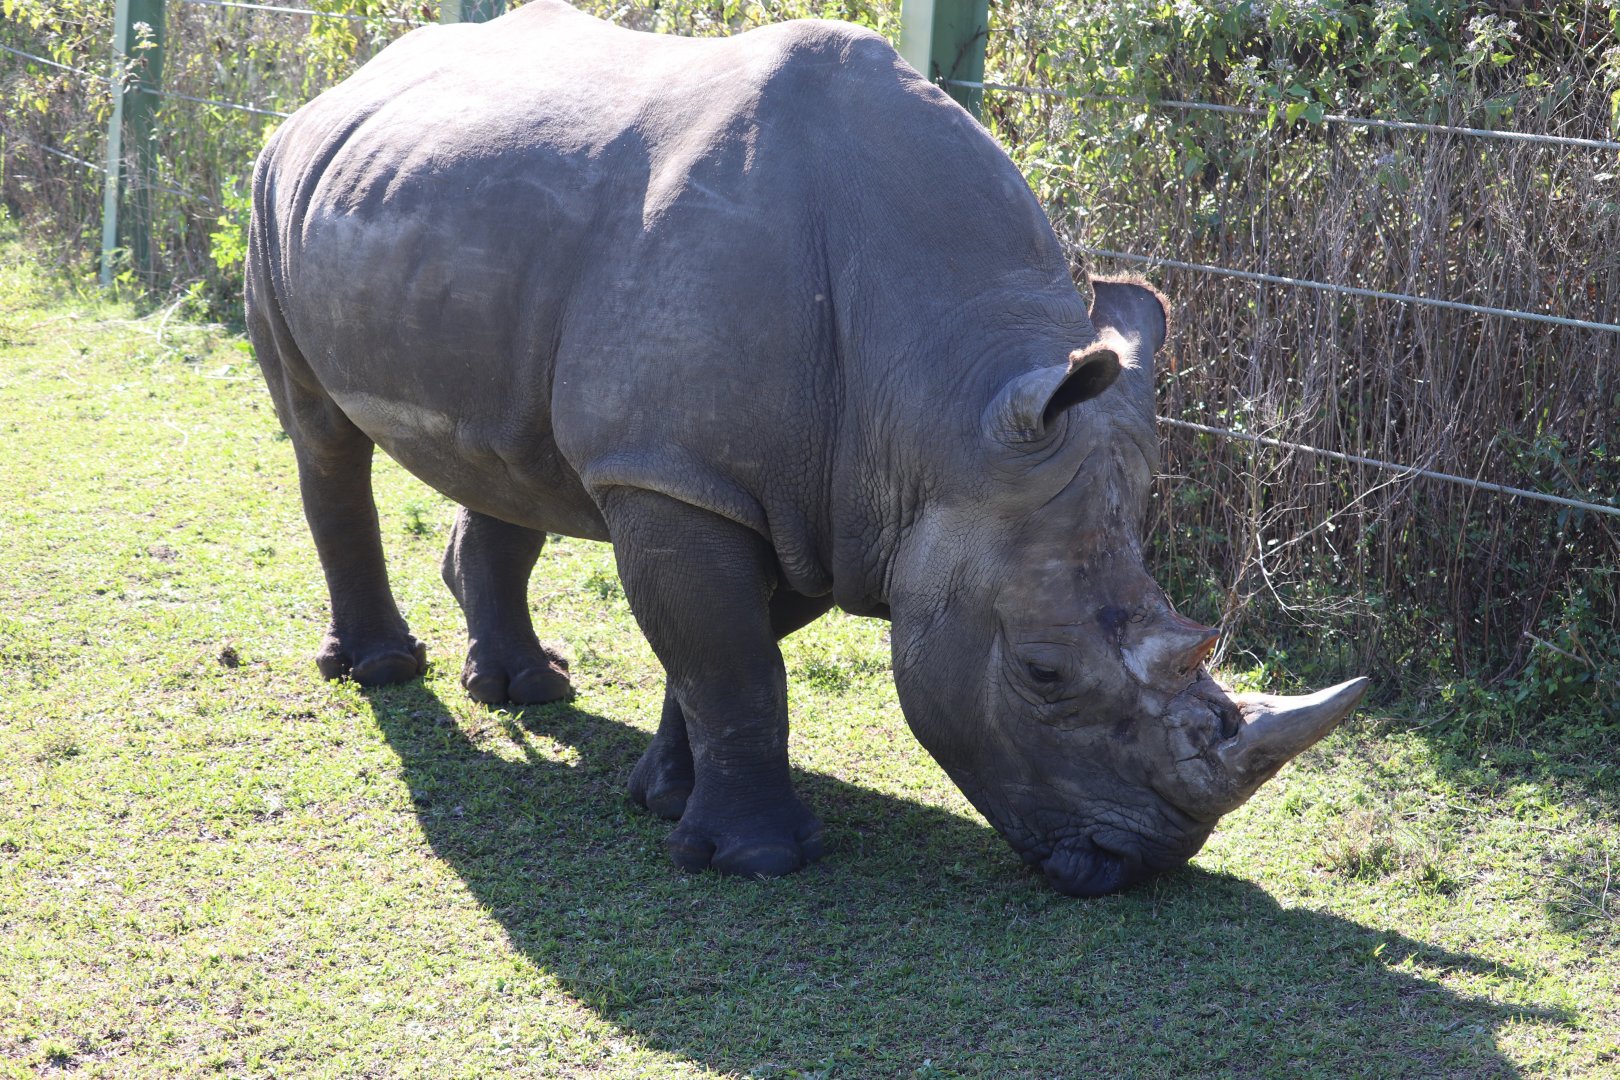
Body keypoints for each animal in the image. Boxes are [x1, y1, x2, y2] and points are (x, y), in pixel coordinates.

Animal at [245, 0, 1367, 896]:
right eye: (1044, 674)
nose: (1136, 865)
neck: (940, 397)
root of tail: (338, 88)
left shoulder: (818, 494)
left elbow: (724, 652)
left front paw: (666, 798)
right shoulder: (686, 477)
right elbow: (731, 661)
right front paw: (757, 860)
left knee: (512, 457)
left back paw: (526, 688)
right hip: (271, 186)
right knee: (322, 435)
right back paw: (382, 672)